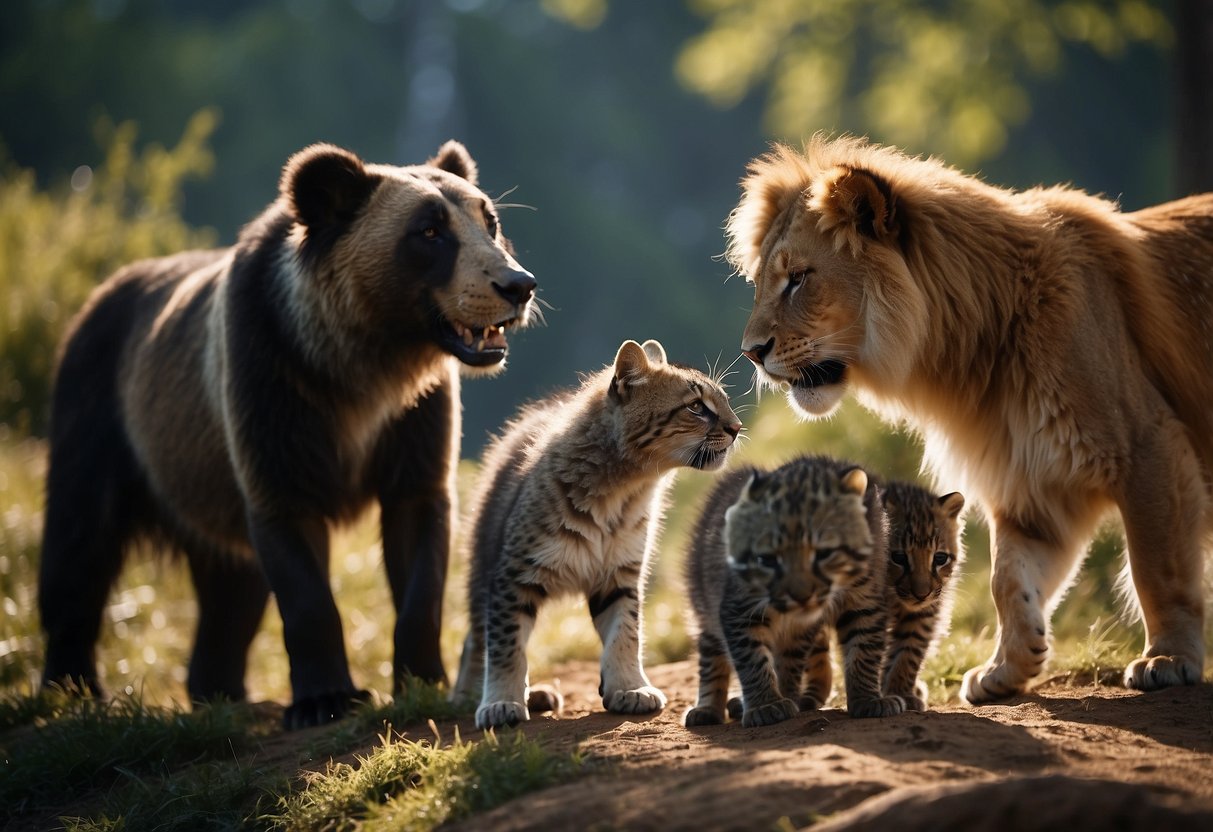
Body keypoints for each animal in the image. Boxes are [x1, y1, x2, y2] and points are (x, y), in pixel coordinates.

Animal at [36, 140, 536, 727]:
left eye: (490, 221)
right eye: (429, 231)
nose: (517, 285)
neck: (362, 361)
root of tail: (91, 302)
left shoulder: (411, 420)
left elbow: (418, 533)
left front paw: (422, 680)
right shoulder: (274, 391)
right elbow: (295, 552)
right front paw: (326, 698)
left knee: (231, 592)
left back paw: (220, 690)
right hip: (103, 412)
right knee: (79, 544)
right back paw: (72, 690)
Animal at [453, 339, 737, 727]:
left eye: (724, 400)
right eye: (696, 407)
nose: (738, 427)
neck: (624, 490)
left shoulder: (620, 573)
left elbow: (626, 632)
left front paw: (629, 686)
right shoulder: (514, 575)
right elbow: (505, 643)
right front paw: (500, 701)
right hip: (484, 558)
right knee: (477, 634)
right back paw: (469, 696)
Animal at [684, 456, 902, 727]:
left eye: (824, 553)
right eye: (767, 559)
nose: (801, 596)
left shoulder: (865, 604)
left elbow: (862, 651)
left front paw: (867, 699)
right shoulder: (740, 608)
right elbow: (753, 659)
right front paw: (766, 704)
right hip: (705, 604)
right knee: (710, 652)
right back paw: (707, 708)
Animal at [722, 137, 1213, 703]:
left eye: (799, 279)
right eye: (762, 283)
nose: (751, 353)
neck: (976, 355)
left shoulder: (1146, 445)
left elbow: (1158, 566)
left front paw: (1169, 658)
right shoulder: (1031, 484)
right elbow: (1009, 579)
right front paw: (1011, 666)